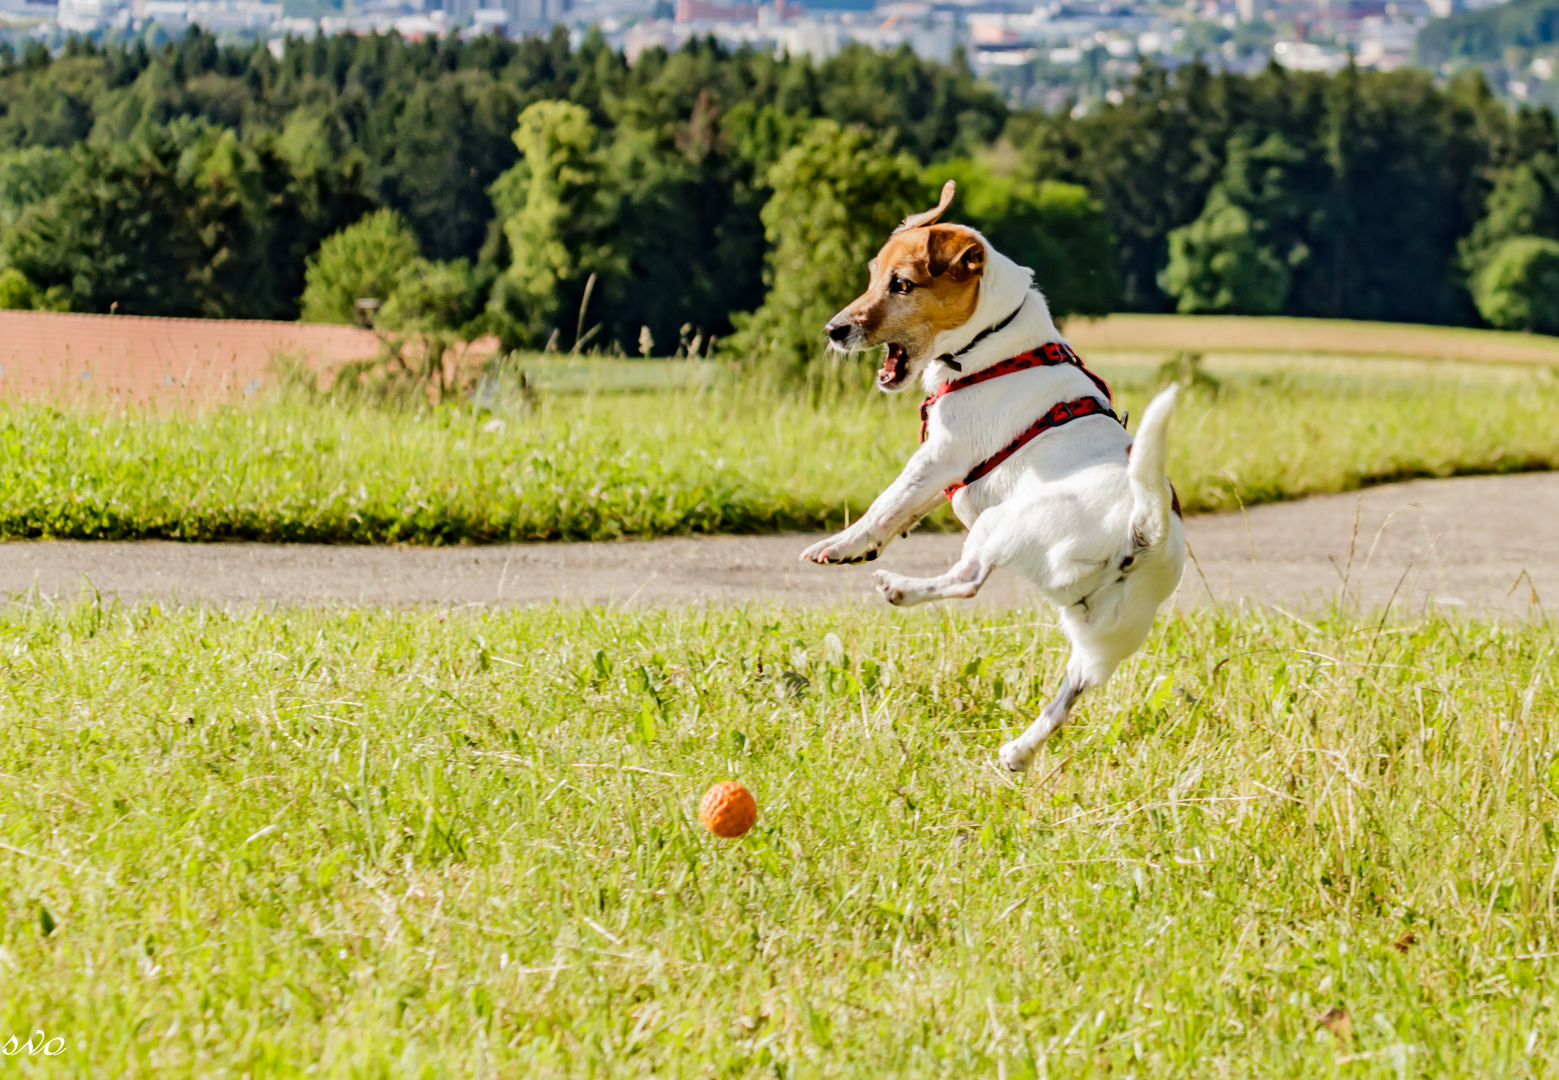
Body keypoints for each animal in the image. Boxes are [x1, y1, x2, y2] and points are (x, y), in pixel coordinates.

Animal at [804, 183, 1178, 776]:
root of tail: (1147, 525)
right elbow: (905, 512)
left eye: (901, 285)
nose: (833, 331)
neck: (991, 344)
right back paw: (1019, 751)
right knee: (1067, 695)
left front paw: (841, 545)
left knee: (968, 579)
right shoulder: (941, 476)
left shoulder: (938, 457)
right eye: (871, 275)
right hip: (1102, 644)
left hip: (1003, 524)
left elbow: (884, 506)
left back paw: (899, 588)